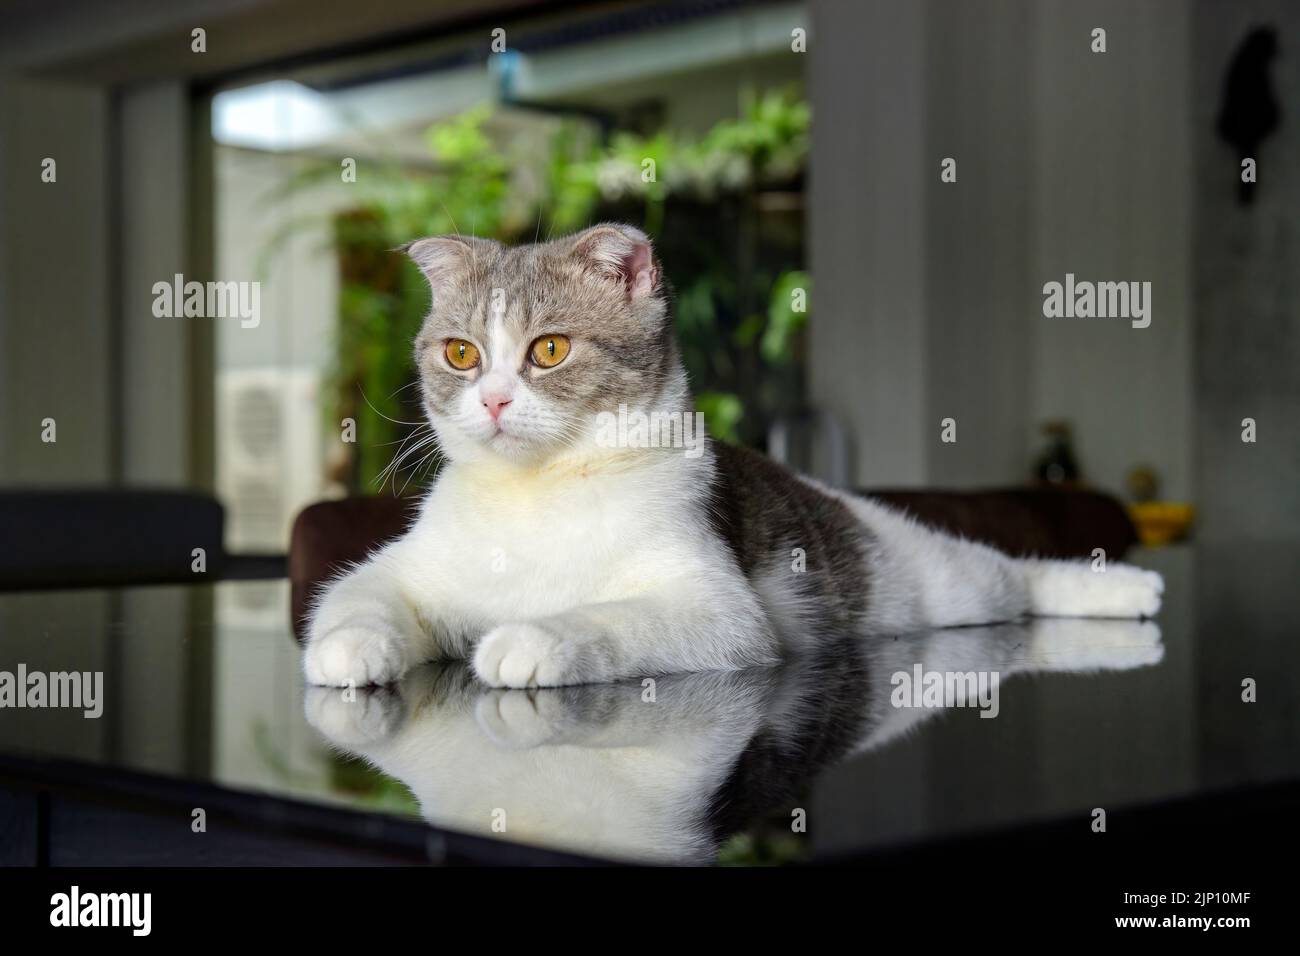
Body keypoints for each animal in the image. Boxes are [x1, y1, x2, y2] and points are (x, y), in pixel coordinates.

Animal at [301, 222, 1159, 686]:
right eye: (461, 353)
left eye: (548, 350)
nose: (494, 401)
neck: (540, 492)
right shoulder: (408, 568)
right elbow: (356, 595)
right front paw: (349, 649)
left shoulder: (717, 611)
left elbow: (608, 618)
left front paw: (532, 639)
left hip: (938, 584)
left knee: (1015, 576)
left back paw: (1123, 588)